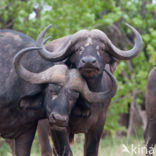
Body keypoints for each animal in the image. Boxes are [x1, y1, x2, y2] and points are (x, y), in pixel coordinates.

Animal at [35, 23, 143, 155]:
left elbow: (91, 150)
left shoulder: (98, 125)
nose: (88, 62)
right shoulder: (57, 124)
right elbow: (65, 151)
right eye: (78, 49)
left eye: (101, 49)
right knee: (46, 149)